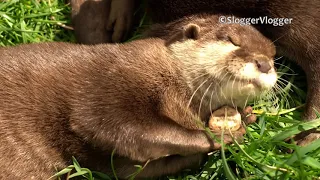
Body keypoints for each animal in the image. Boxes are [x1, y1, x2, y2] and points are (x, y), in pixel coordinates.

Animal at [0, 14, 276, 179]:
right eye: (232, 40)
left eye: (273, 55)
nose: (265, 64)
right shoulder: (109, 89)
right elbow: (126, 129)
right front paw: (220, 135)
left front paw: (245, 117)